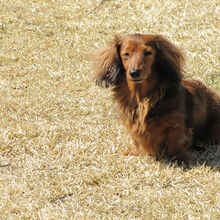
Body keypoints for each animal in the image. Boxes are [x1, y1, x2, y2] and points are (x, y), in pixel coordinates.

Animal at [93, 33, 220, 162]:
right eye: (126, 54)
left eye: (148, 52)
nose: (134, 72)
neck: (142, 98)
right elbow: (136, 140)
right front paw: (135, 152)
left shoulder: (176, 127)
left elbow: (176, 143)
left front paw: (179, 160)